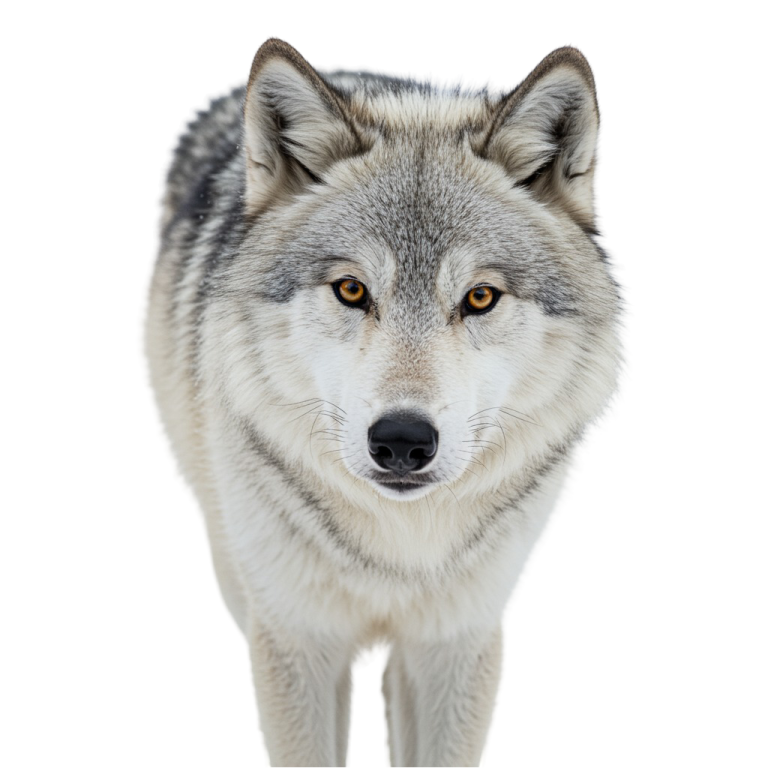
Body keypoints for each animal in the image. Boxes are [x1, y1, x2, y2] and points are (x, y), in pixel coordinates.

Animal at [137, 35, 631, 767]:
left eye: (480, 296)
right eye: (351, 289)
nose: (401, 439)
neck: (401, 548)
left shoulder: (457, 644)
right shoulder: (296, 642)